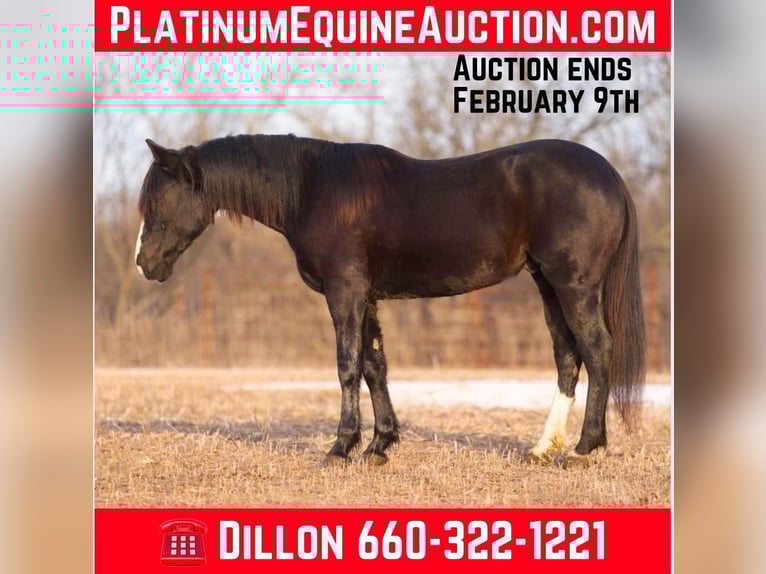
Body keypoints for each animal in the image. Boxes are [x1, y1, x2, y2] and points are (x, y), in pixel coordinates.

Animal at [135, 134, 647, 466]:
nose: (144, 265)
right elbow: (374, 365)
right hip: (547, 284)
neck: (313, 187)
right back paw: (543, 447)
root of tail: (609, 174)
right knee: (567, 356)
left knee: (597, 350)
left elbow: (347, 366)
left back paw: (585, 447)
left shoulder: (345, 292)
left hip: (574, 284)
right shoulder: (367, 298)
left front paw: (341, 447)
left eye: (158, 203)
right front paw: (379, 445)